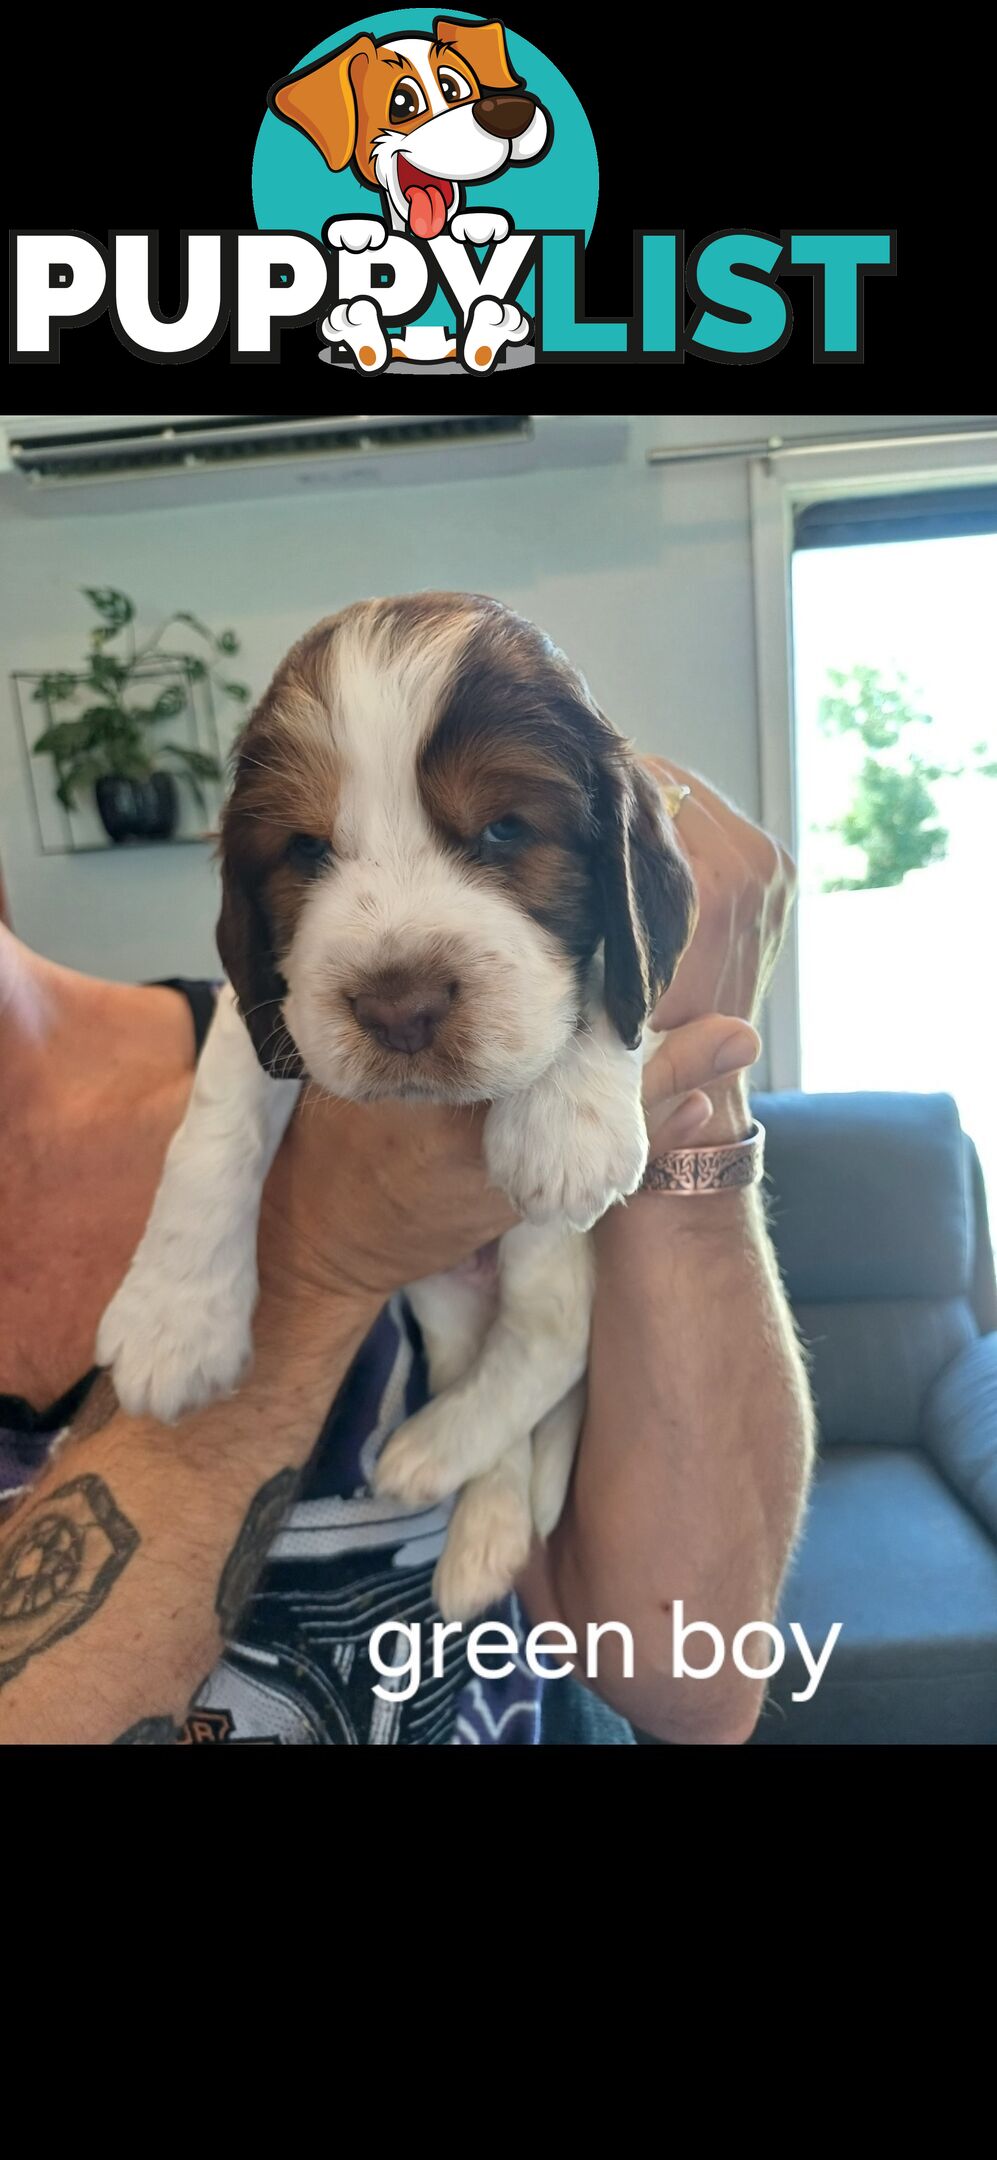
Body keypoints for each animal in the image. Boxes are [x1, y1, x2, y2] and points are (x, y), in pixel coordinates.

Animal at [97, 596, 699, 1624]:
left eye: (504, 830)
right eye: (304, 849)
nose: (397, 1007)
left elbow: (602, 980)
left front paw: (566, 1121)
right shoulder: (268, 1001)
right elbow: (217, 1117)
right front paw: (173, 1323)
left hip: (548, 1249)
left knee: (556, 1334)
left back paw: (430, 1464)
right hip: (439, 1291)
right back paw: (471, 1520)